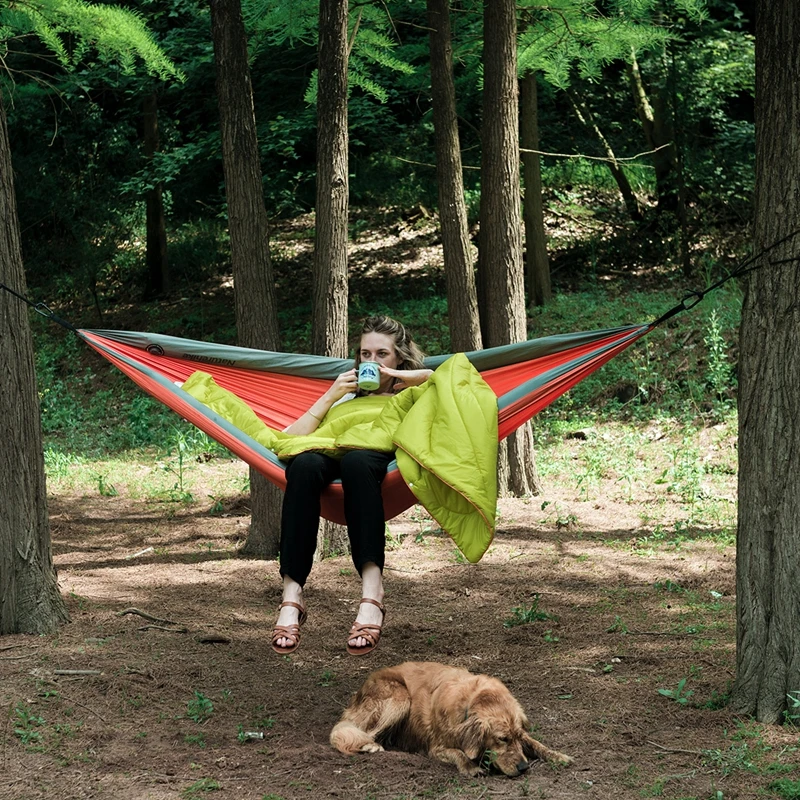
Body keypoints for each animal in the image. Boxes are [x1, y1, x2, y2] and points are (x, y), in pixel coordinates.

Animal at [332, 664, 576, 776]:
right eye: (501, 739)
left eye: (515, 736)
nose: (524, 767)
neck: (473, 699)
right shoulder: (436, 747)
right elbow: (459, 753)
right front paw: (471, 767)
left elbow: (536, 743)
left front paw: (558, 755)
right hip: (400, 698)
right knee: (360, 733)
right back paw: (371, 746)